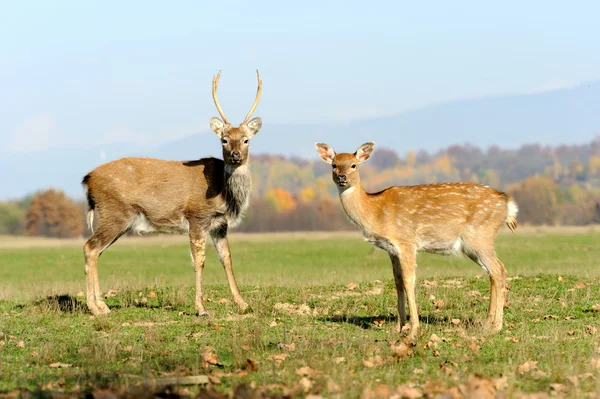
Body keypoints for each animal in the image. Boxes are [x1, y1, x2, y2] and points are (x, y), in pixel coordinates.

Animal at [82, 70, 262, 318]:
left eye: (246, 140)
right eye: (223, 139)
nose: (235, 155)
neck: (224, 194)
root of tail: (87, 179)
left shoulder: (220, 224)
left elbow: (227, 259)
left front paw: (243, 304)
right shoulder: (196, 217)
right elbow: (199, 261)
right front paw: (201, 308)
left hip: (118, 219)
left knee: (97, 251)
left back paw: (102, 305)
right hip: (115, 213)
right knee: (90, 247)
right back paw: (95, 307)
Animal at [316, 142, 516, 342]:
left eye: (354, 165)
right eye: (334, 165)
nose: (342, 177)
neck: (375, 212)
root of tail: (508, 204)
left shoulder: (407, 242)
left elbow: (408, 281)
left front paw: (413, 330)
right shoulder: (391, 249)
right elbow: (397, 281)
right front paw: (398, 327)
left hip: (480, 236)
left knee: (498, 270)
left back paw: (495, 327)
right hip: (475, 243)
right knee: (494, 271)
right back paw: (487, 325)